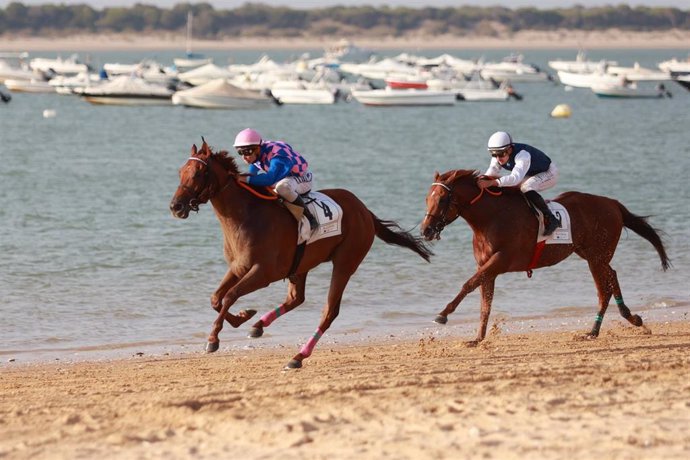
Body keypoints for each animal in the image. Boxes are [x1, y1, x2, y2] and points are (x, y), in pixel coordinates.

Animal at [169, 138, 430, 368]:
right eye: (181, 171)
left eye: (198, 173)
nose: (175, 206)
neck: (248, 216)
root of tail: (365, 211)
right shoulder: (238, 267)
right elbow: (216, 298)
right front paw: (244, 316)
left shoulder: (264, 273)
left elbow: (230, 296)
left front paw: (214, 339)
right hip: (301, 264)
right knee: (297, 298)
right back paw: (259, 326)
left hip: (345, 263)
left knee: (329, 312)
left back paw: (297, 357)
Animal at [416, 167, 668, 344]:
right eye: (427, 199)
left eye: (441, 199)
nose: (425, 230)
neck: (491, 218)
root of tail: (613, 203)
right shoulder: (488, 266)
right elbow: (485, 302)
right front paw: (477, 338)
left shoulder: (500, 261)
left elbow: (469, 284)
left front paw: (442, 314)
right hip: (591, 254)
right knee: (612, 275)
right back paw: (630, 318)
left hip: (596, 256)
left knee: (603, 289)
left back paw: (593, 331)